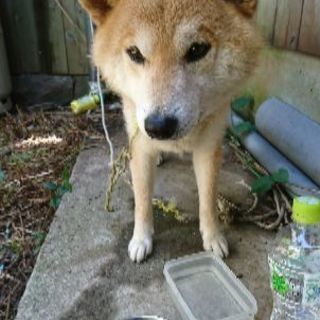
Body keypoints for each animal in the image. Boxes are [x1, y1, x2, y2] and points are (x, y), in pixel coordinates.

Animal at [79, 0, 260, 262]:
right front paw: (141, 239)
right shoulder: (140, 147)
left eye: (197, 49)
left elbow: (208, 199)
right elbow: (142, 201)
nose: (158, 127)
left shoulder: (208, 149)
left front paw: (213, 237)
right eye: (135, 53)